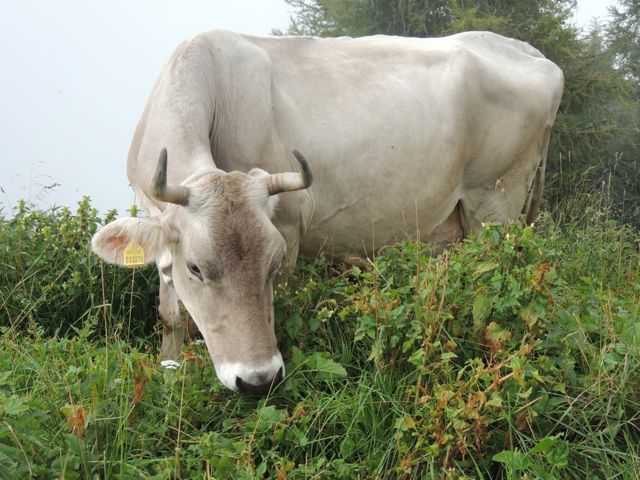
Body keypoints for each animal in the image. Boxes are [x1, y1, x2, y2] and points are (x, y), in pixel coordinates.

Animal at [89, 30, 560, 396]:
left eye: (273, 264)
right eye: (196, 268)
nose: (258, 381)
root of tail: (528, 52)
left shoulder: (288, 226)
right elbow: (171, 318)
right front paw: (170, 371)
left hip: (494, 203)